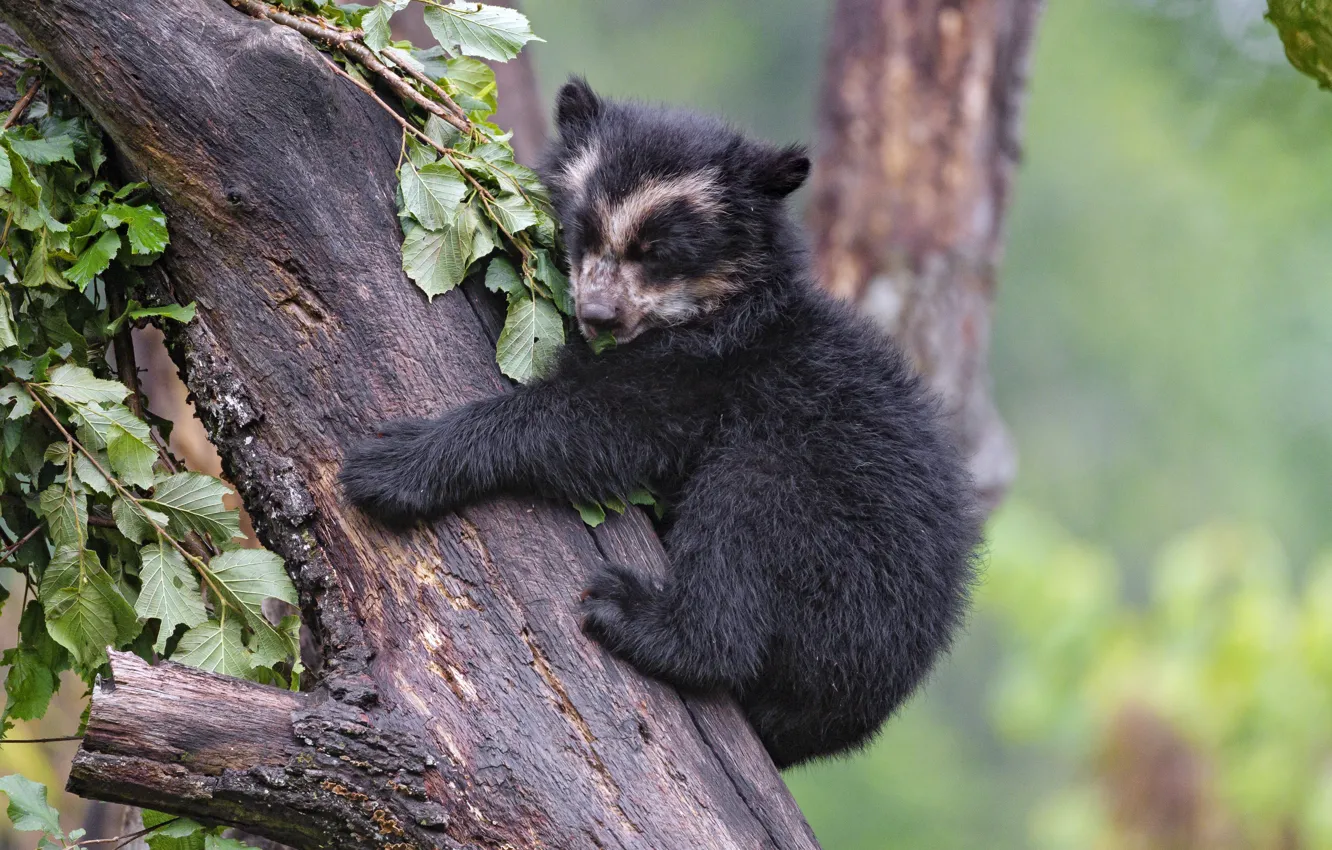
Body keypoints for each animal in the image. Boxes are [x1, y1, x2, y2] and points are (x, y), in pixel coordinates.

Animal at [340, 78, 982, 769]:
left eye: (659, 252)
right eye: (584, 230)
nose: (598, 314)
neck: (709, 311)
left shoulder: (704, 374)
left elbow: (593, 425)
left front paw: (394, 461)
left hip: (830, 538)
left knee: (743, 521)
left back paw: (637, 615)